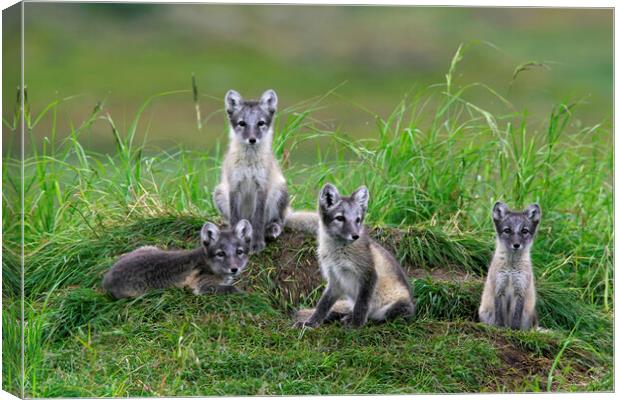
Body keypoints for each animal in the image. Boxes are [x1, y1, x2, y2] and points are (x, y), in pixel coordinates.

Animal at [101, 220, 252, 298]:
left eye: (239, 252)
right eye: (220, 254)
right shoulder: (203, 286)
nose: (234, 269)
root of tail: (106, 279)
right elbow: (232, 288)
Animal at [212, 90, 290, 253]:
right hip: (218, 192)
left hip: (280, 192)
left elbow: (258, 219)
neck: (249, 163)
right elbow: (235, 218)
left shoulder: (262, 186)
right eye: (242, 123)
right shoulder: (234, 186)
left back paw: (273, 228)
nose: (252, 139)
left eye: (261, 123)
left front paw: (257, 243)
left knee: (280, 220)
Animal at [296, 184, 416, 328]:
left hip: (396, 308)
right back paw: (341, 317)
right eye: (340, 218)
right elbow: (322, 305)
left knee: (373, 317)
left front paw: (355, 326)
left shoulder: (369, 274)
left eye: (357, 220)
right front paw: (311, 323)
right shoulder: (334, 279)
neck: (338, 252)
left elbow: (361, 306)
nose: (355, 236)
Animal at [478, 202, 540, 330]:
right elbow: (499, 314)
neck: (511, 268)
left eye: (524, 231)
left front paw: (514, 330)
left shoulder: (520, 289)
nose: (516, 245)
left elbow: (516, 316)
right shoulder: (499, 287)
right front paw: (500, 327)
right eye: (507, 230)